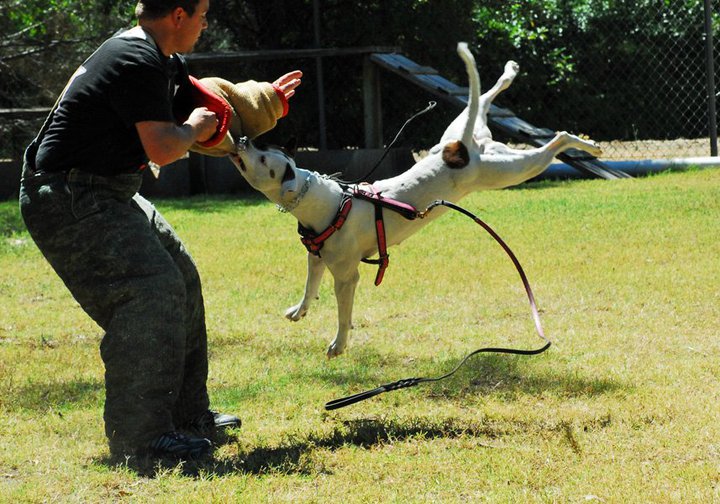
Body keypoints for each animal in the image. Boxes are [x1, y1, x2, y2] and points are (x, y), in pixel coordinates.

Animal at [231, 42, 600, 358]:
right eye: (265, 147)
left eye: (263, 159)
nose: (245, 140)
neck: (329, 204)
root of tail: (463, 148)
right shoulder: (316, 258)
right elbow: (310, 286)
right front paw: (300, 310)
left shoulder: (347, 276)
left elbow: (343, 314)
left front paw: (339, 344)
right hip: (465, 135)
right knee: (484, 98)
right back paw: (510, 72)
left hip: (510, 170)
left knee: (555, 140)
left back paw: (586, 145)